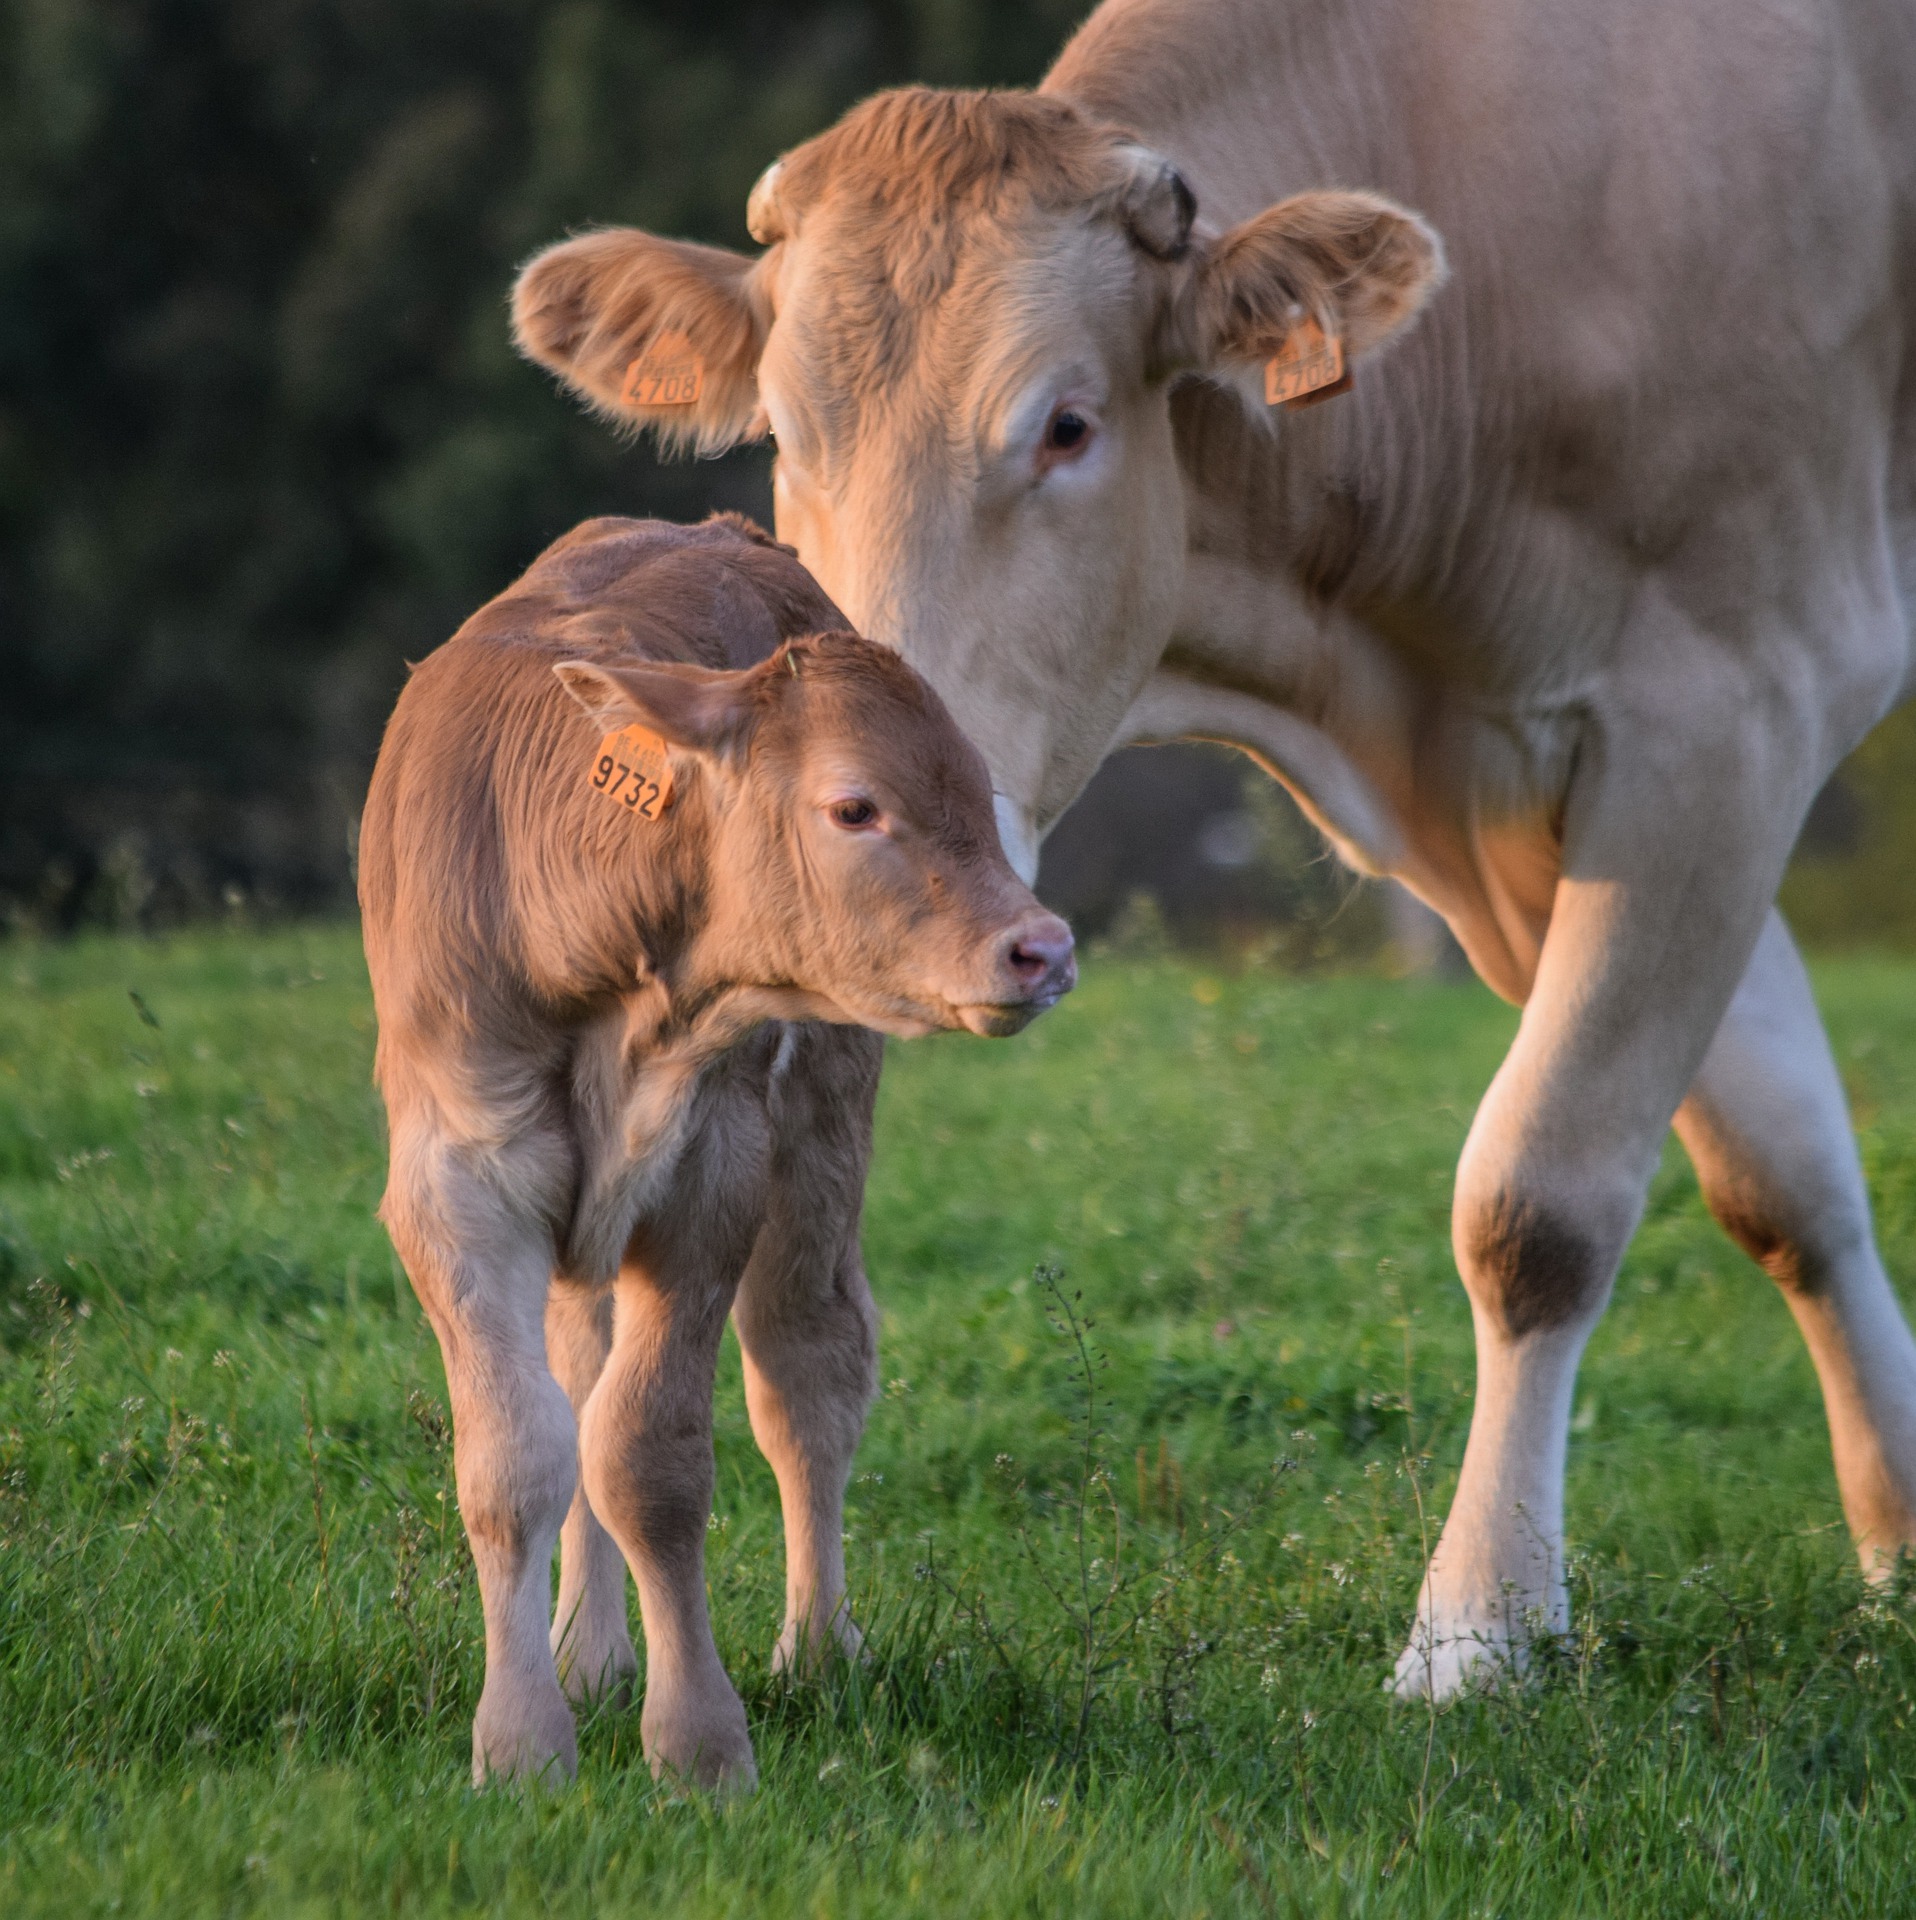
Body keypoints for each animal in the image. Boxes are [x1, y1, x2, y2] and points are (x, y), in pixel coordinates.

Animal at [360, 514, 1082, 1781]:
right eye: (854, 807)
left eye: (971, 786)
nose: (1040, 948)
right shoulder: (455, 1181)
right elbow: (518, 1456)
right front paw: (523, 1739)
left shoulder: (709, 1177)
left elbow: (647, 1459)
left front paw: (697, 1745)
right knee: (580, 1370)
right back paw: (588, 1654)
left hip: (825, 1112)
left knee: (806, 1366)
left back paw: (817, 1653)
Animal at [510, 0, 1916, 1697]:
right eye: (785, 434)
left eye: (1066, 427)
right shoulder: (1539, 812)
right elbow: (1789, 1177)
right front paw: (1904, 1542)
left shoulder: (1733, 697)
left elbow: (1542, 1203)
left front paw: (1478, 1627)